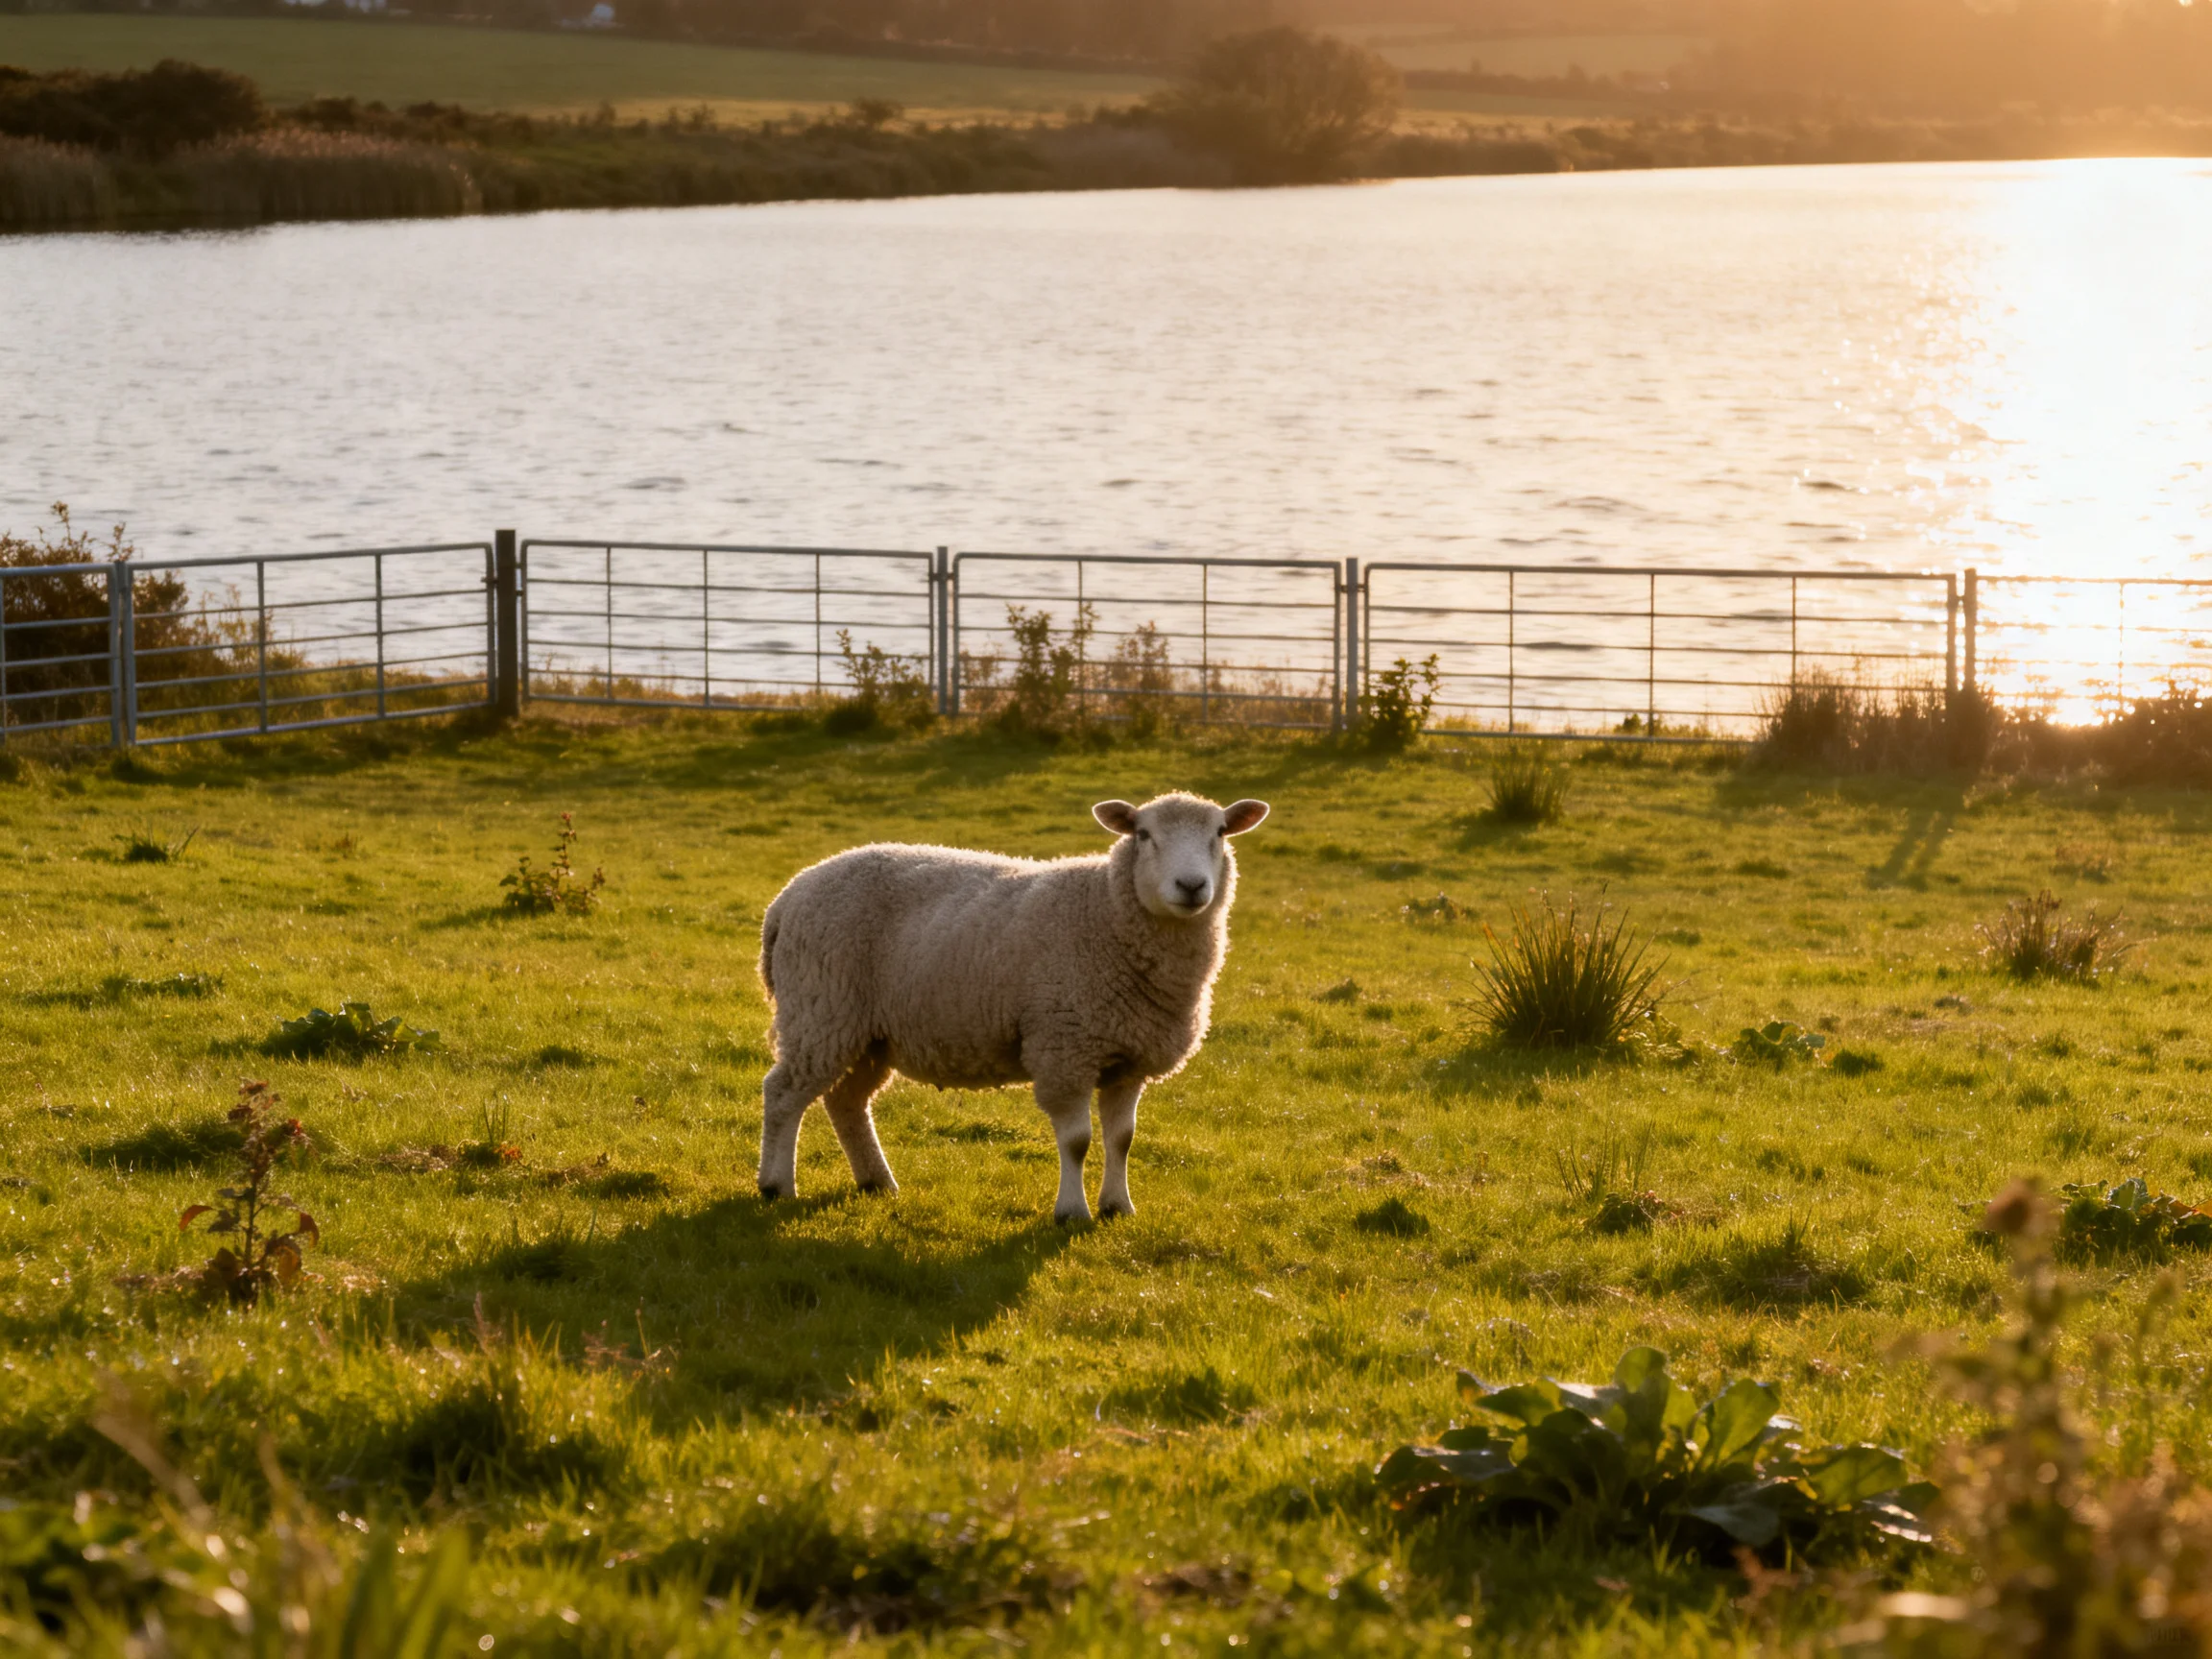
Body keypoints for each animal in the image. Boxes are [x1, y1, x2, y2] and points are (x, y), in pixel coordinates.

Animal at [755, 791, 1270, 1221]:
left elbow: (1122, 1140)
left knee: (845, 1101)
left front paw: (1118, 1207)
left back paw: (876, 1181)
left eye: (1220, 833)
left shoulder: (1127, 1060)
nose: (1191, 885)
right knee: (783, 1093)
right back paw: (776, 1185)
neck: (1103, 909)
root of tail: (785, 899)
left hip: (868, 1032)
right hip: (820, 1009)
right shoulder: (1065, 1050)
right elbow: (1078, 1141)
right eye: (1143, 834)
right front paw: (1072, 1213)